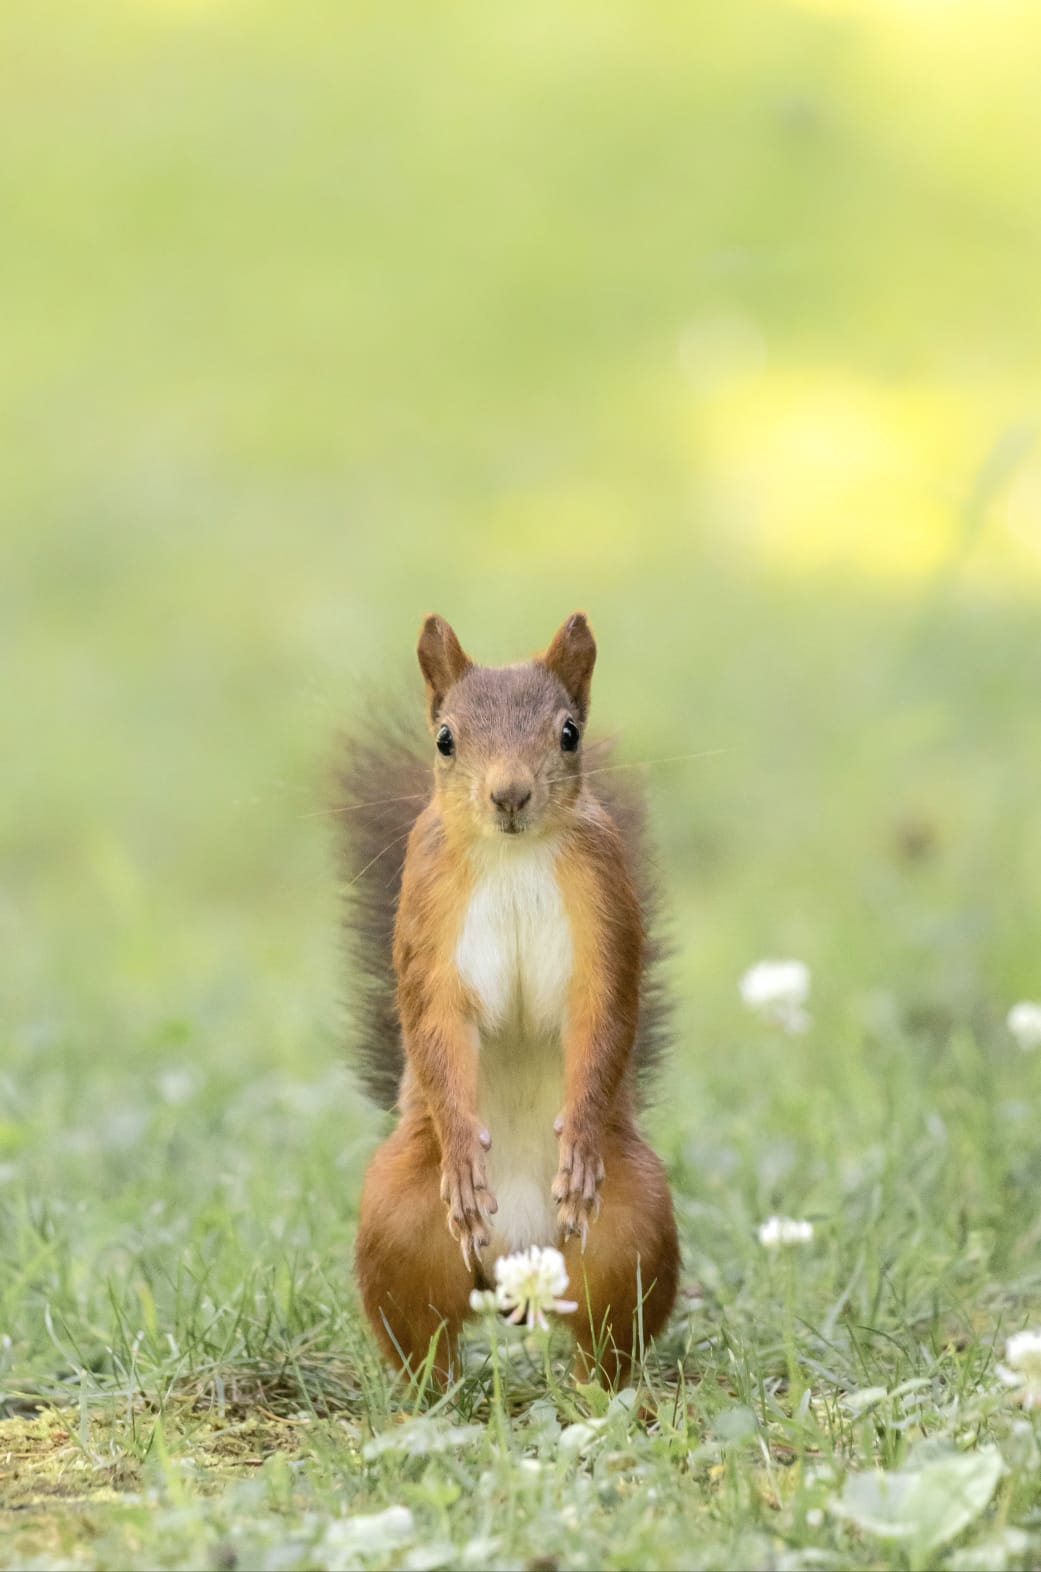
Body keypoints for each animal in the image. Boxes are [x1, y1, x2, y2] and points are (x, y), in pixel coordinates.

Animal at [342, 613, 682, 1389]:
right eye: (444, 738)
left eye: (569, 733)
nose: (509, 795)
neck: (513, 856)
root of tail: (517, 1266)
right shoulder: (428, 911)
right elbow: (434, 1027)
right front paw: (465, 1148)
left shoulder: (604, 904)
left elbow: (604, 1015)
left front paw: (578, 1136)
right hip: (398, 1220)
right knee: (424, 1340)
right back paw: (426, 1401)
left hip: (633, 1226)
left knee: (607, 1339)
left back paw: (605, 1399)